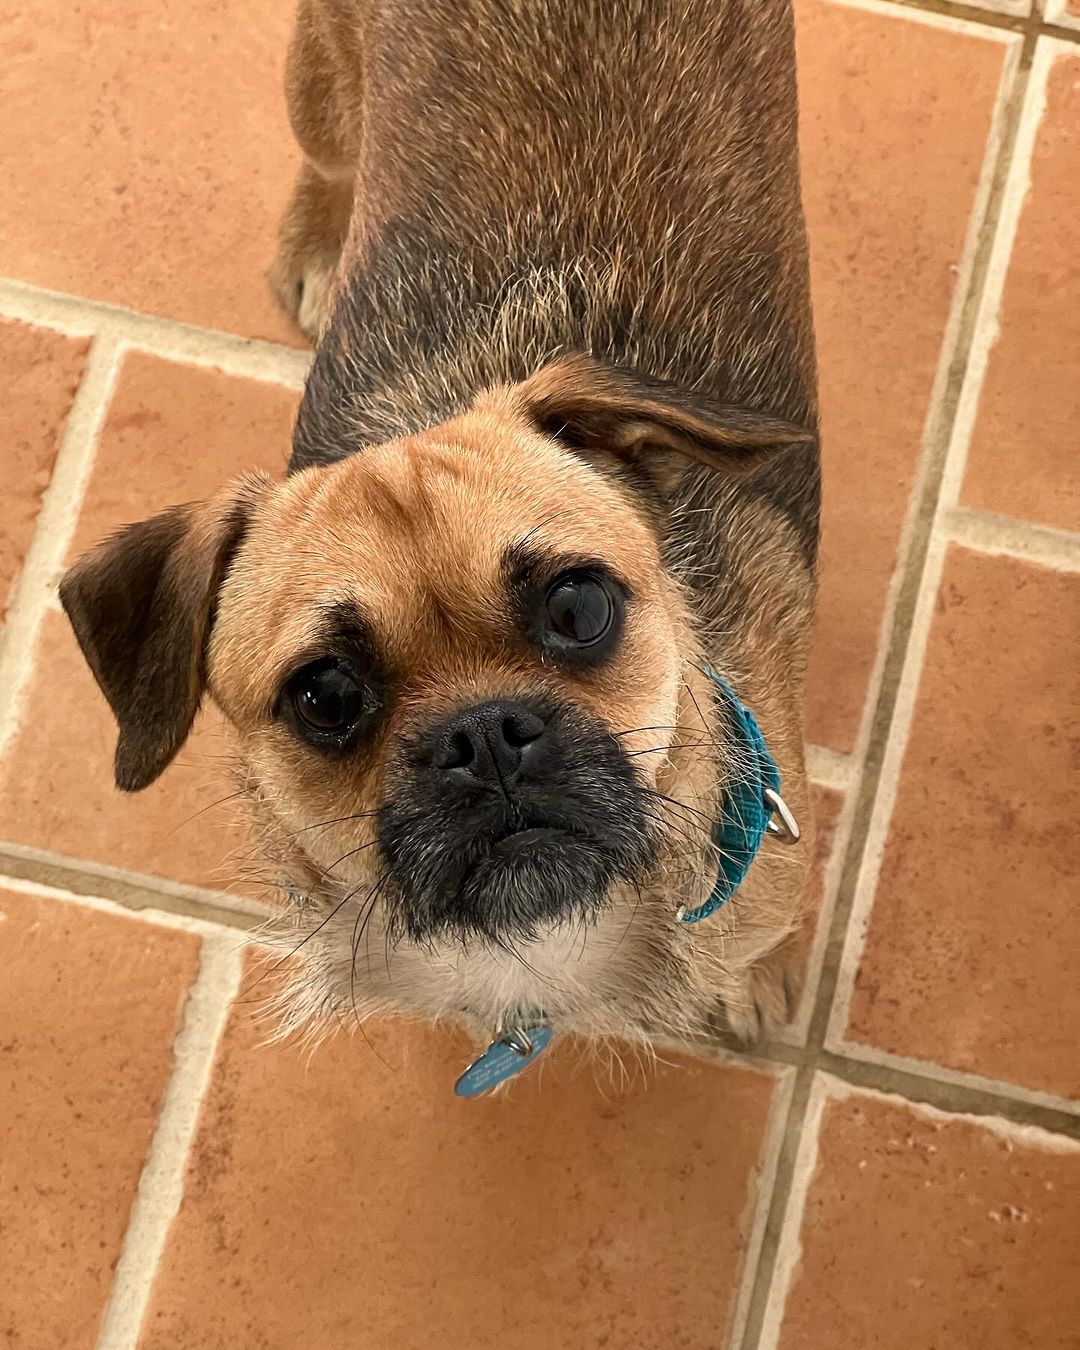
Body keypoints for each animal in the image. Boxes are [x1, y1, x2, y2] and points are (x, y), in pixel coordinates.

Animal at [59, 0, 820, 1080]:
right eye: (326, 695)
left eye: (579, 606)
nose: (484, 733)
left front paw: (760, 979)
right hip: (319, 90)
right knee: (327, 162)